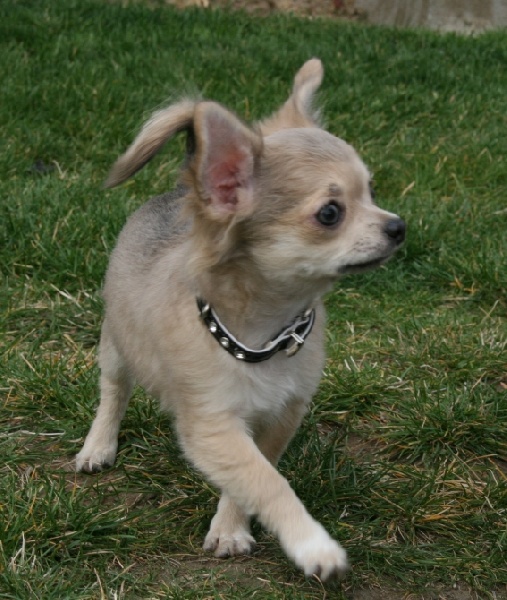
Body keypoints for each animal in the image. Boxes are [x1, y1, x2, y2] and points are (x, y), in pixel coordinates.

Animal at [76, 59, 405, 580]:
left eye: (372, 191)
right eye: (330, 213)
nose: (398, 227)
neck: (264, 337)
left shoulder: (280, 417)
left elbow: (251, 477)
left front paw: (230, 528)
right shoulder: (212, 425)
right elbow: (266, 482)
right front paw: (312, 544)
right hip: (116, 344)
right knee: (113, 391)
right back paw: (98, 445)